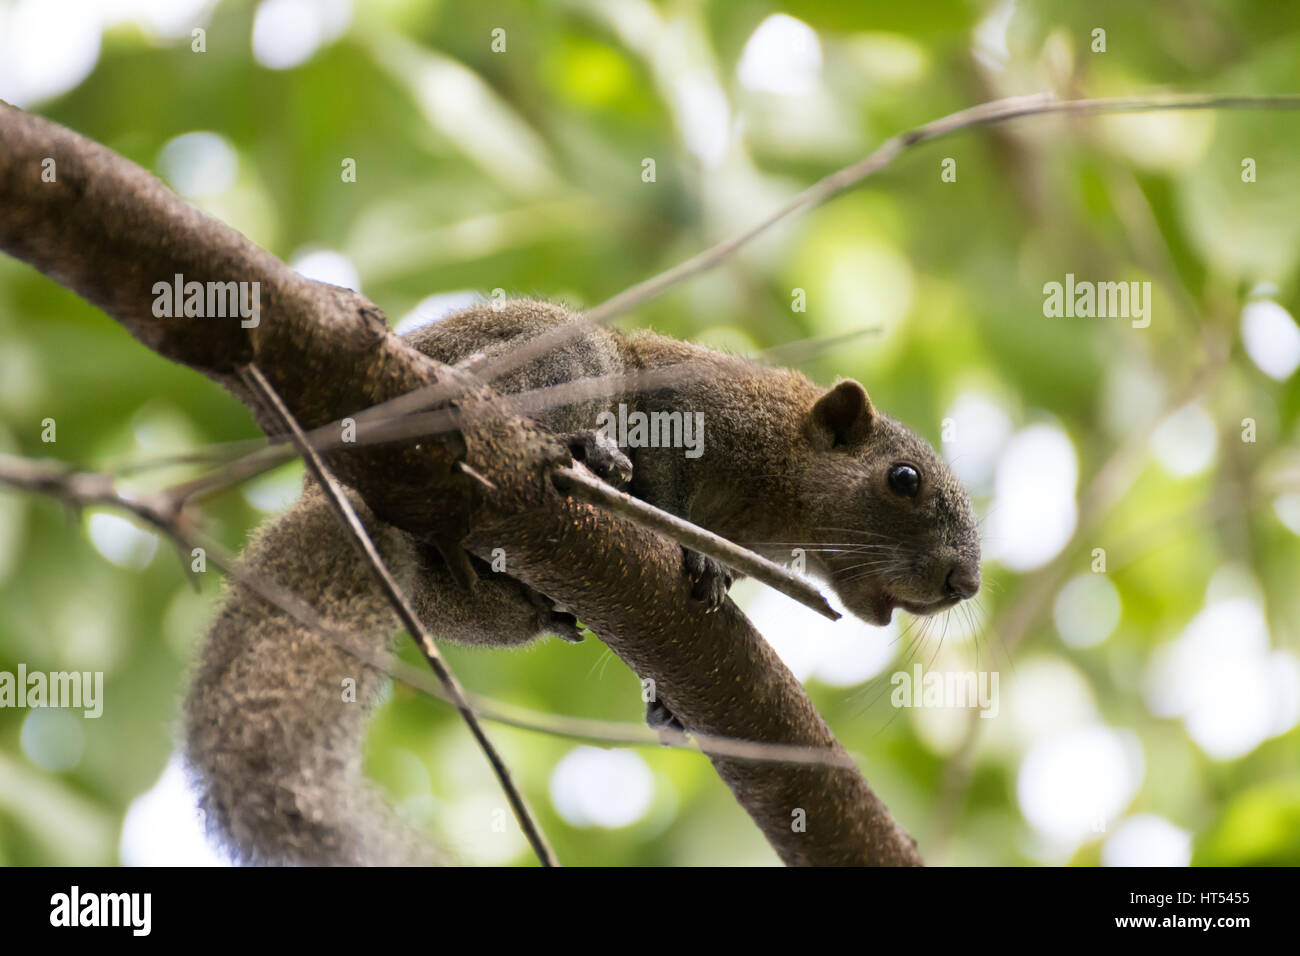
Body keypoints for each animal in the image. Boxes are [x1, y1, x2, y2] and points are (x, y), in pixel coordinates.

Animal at [183, 300, 977, 868]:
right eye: (903, 479)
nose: (965, 581)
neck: (776, 487)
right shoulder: (690, 406)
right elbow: (667, 480)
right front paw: (693, 556)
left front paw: (669, 702)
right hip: (552, 358)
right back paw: (579, 449)